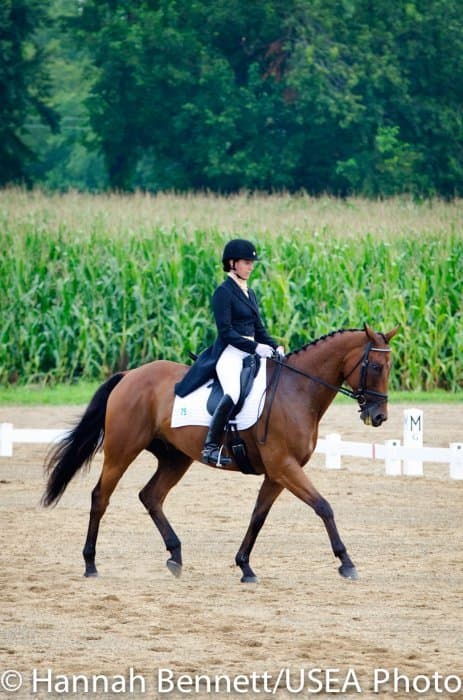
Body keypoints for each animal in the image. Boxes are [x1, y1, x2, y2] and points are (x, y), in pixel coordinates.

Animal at [42, 324, 397, 583]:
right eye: (375, 366)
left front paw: (245, 566)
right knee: (100, 497)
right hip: (122, 450)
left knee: (151, 496)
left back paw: (175, 556)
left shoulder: (277, 473)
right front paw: (346, 562)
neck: (296, 391)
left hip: (175, 457)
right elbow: (324, 507)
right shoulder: (284, 467)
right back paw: (90, 564)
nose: (379, 416)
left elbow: (258, 516)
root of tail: (130, 375)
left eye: (390, 366)